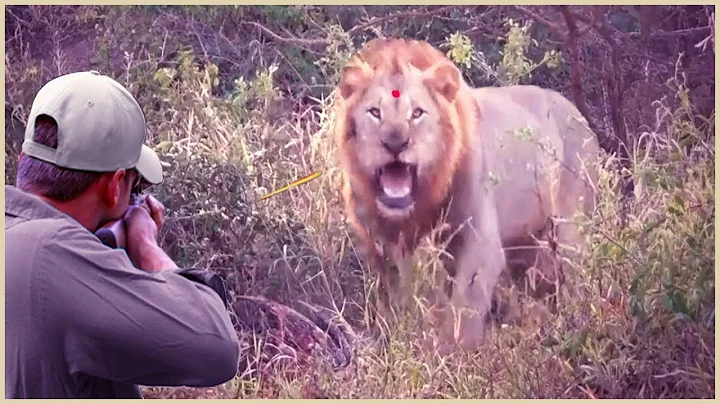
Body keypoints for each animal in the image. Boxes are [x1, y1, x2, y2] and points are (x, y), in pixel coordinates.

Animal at [333, 38, 600, 352]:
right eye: (375, 112)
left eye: (417, 113)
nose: (396, 142)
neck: (415, 206)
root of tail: (578, 114)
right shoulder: (381, 248)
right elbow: (398, 301)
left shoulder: (479, 243)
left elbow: (464, 310)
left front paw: (453, 354)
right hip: (525, 241)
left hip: (572, 230)